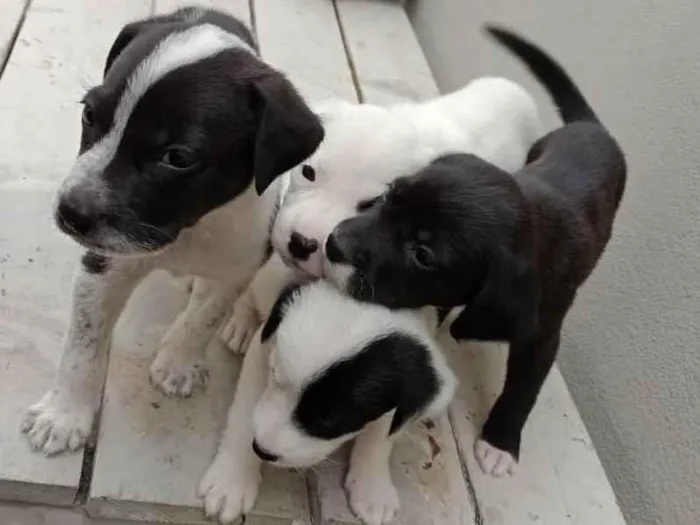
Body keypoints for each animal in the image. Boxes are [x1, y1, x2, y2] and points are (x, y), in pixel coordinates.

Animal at [21, 5, 322, 454]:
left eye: (177, 158)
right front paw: (64, 414)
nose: (71, 212)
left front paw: (177, 363)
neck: (187, 231)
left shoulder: (236, 268)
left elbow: (204, 318)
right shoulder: (104, 266)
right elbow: (83, 345)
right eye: (90, 114)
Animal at [200, 280, 456, 524]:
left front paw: (372, 489)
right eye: (274, 376)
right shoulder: (263, 349)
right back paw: (241, 322)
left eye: (329, 421)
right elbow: (244, 412)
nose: (261, 449)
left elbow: (383, 431)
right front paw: (231, 481)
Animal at [322, 25, 628, 474]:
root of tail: (592, 127)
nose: (332, 243)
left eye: (423, 255)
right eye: (391, 194)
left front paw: (500, 443)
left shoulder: (542, 334)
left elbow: (523, 389)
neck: (533, 218)